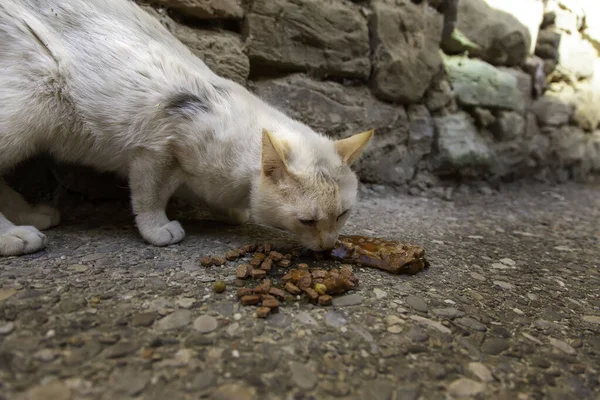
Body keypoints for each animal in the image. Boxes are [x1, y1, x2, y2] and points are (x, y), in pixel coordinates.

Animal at [0, 0, 372, 256]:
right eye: (307, 221)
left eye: (343, 215)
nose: (328, 246)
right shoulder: (156, 149)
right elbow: (149, 197)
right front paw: (157, 230)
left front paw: (230, 211)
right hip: (29, 109)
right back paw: (14, 236)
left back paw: (30, 214)